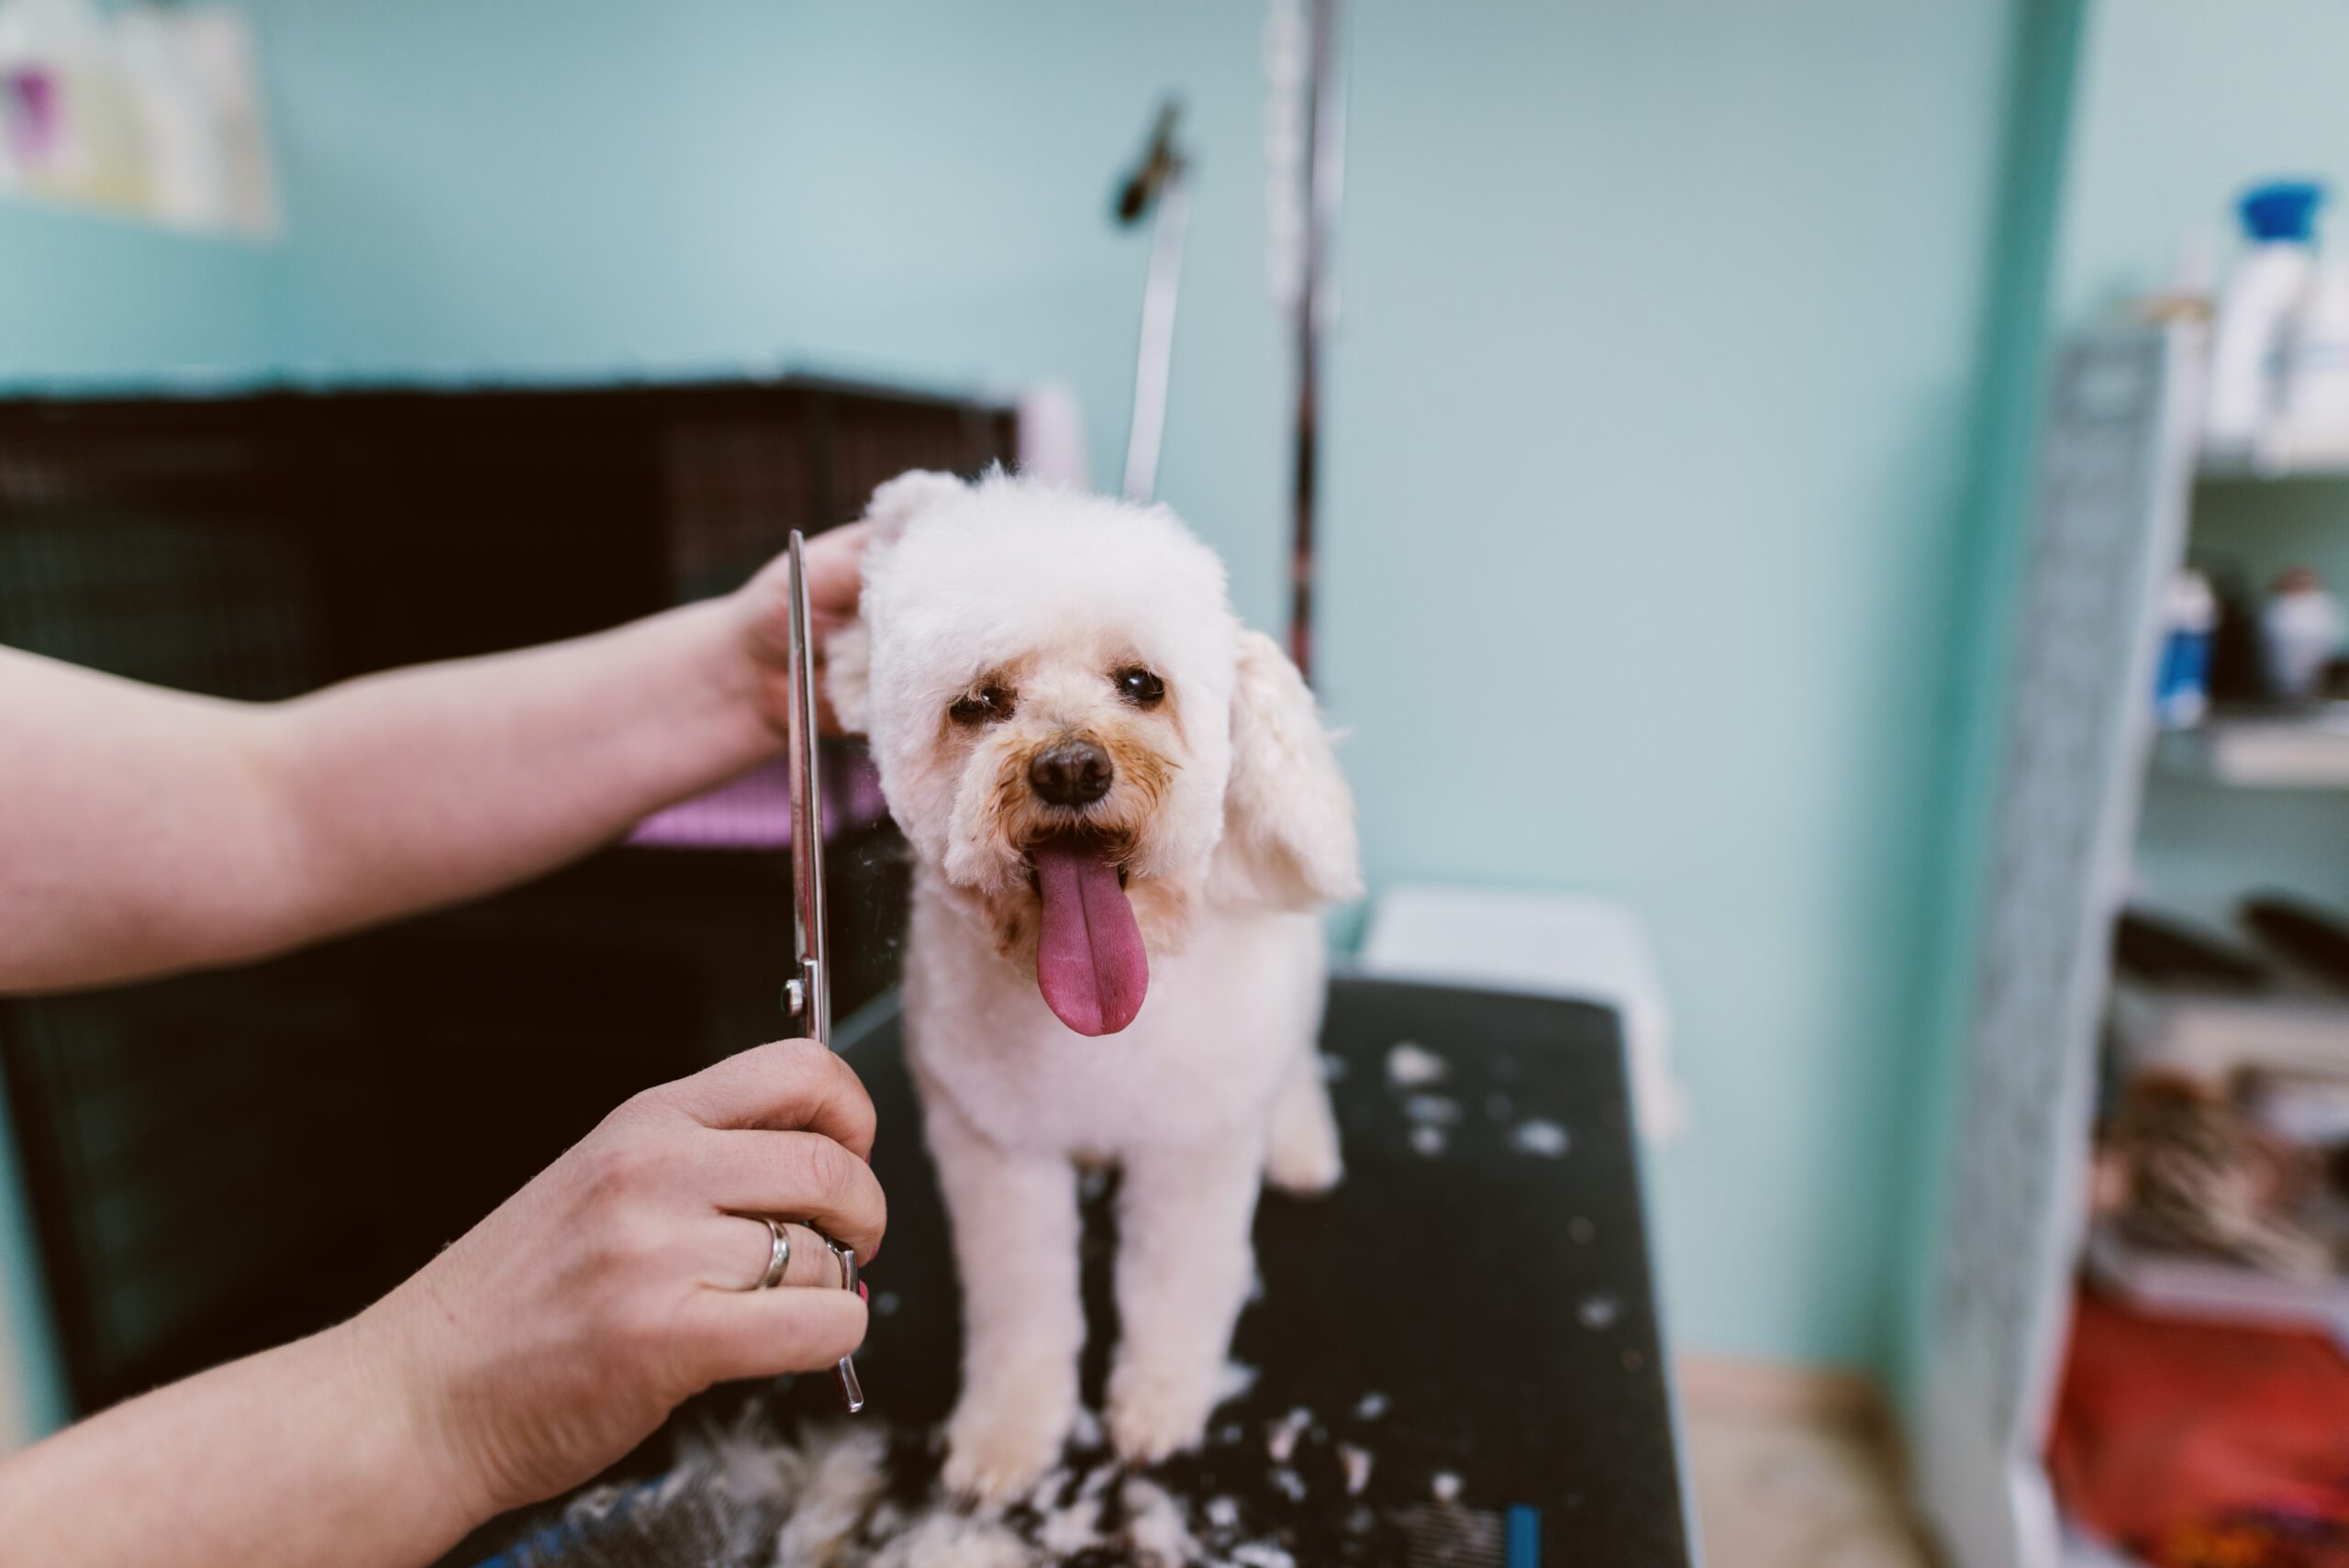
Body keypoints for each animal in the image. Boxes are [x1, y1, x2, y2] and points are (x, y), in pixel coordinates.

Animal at [831, 472, 1372, 1502]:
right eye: (979, 702)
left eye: (1141, 684)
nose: (1073, 765)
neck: (1094, 1025)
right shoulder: (998, 1153)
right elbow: (1020, 1307)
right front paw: (1008, 1433)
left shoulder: (1191, 1149)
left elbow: (1173, 1289)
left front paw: (1160, 1404)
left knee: (1291, 1067)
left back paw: (1301, 1144)